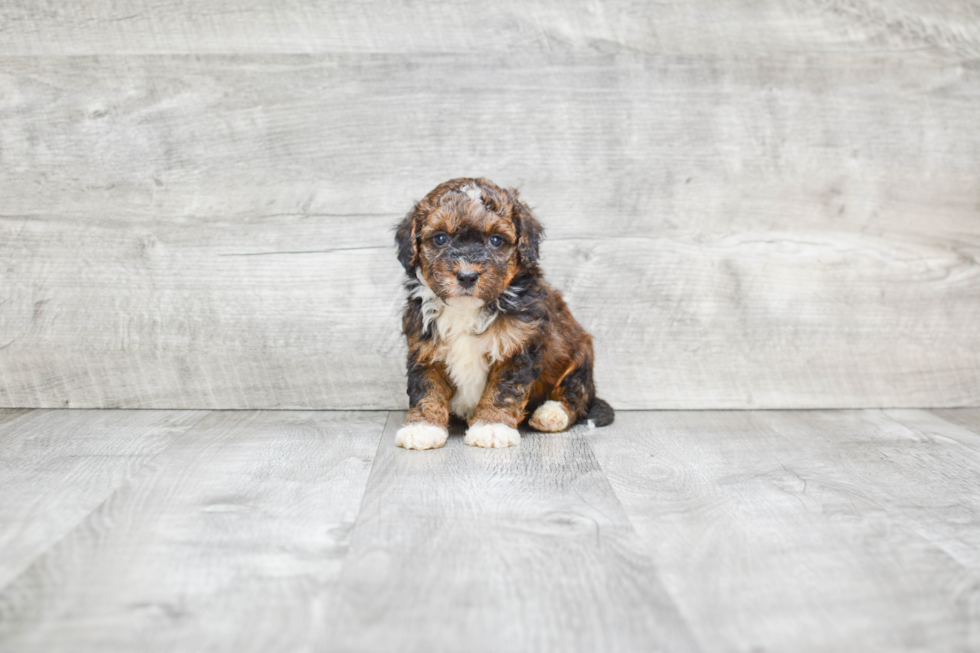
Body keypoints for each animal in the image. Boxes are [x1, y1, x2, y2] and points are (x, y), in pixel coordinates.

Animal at [392, 176, 612, 448]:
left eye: (495, 240)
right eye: (440, 238)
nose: (467, 275)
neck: (467, 310)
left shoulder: (518, 346)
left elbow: (502, 390)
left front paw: (491, 426)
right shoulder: (425, 349)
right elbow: (427, 387)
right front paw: (423, 427)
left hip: (579, 357)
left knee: (575, 395)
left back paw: (552, 414)